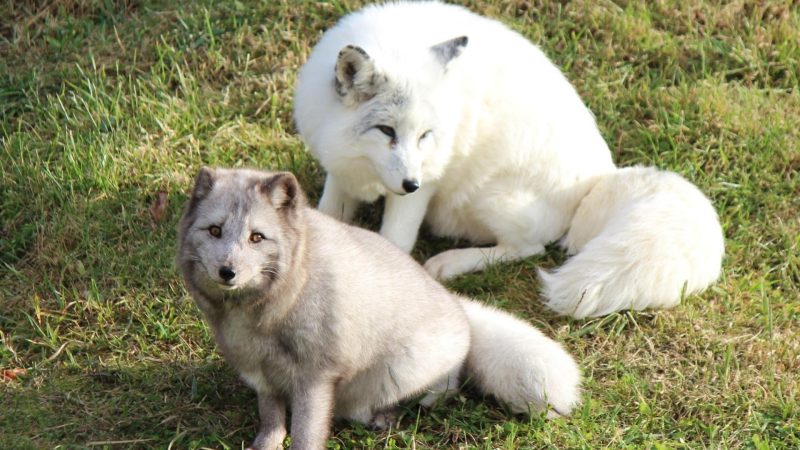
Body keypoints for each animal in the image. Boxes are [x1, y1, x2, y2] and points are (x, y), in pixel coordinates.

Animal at [177, 167, 580, 448]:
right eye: (214, 231)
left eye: (257, 237)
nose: (227, 271)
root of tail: (454, 302)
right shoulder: (261, 374)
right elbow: (271, 420)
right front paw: (266, 444)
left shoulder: (316, 378)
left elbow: (307, 435)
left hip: (404, 366)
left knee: (450, 380)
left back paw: (408, 405)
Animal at [294, 1, 724, 316]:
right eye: (386, 131)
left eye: (425, 135)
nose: (410, 184)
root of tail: (599, 179)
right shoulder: (339, 169)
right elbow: (327, 216)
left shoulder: (426, 182)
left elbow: (395, 241)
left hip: (488, 198)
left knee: (528, 249)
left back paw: (450, 263)